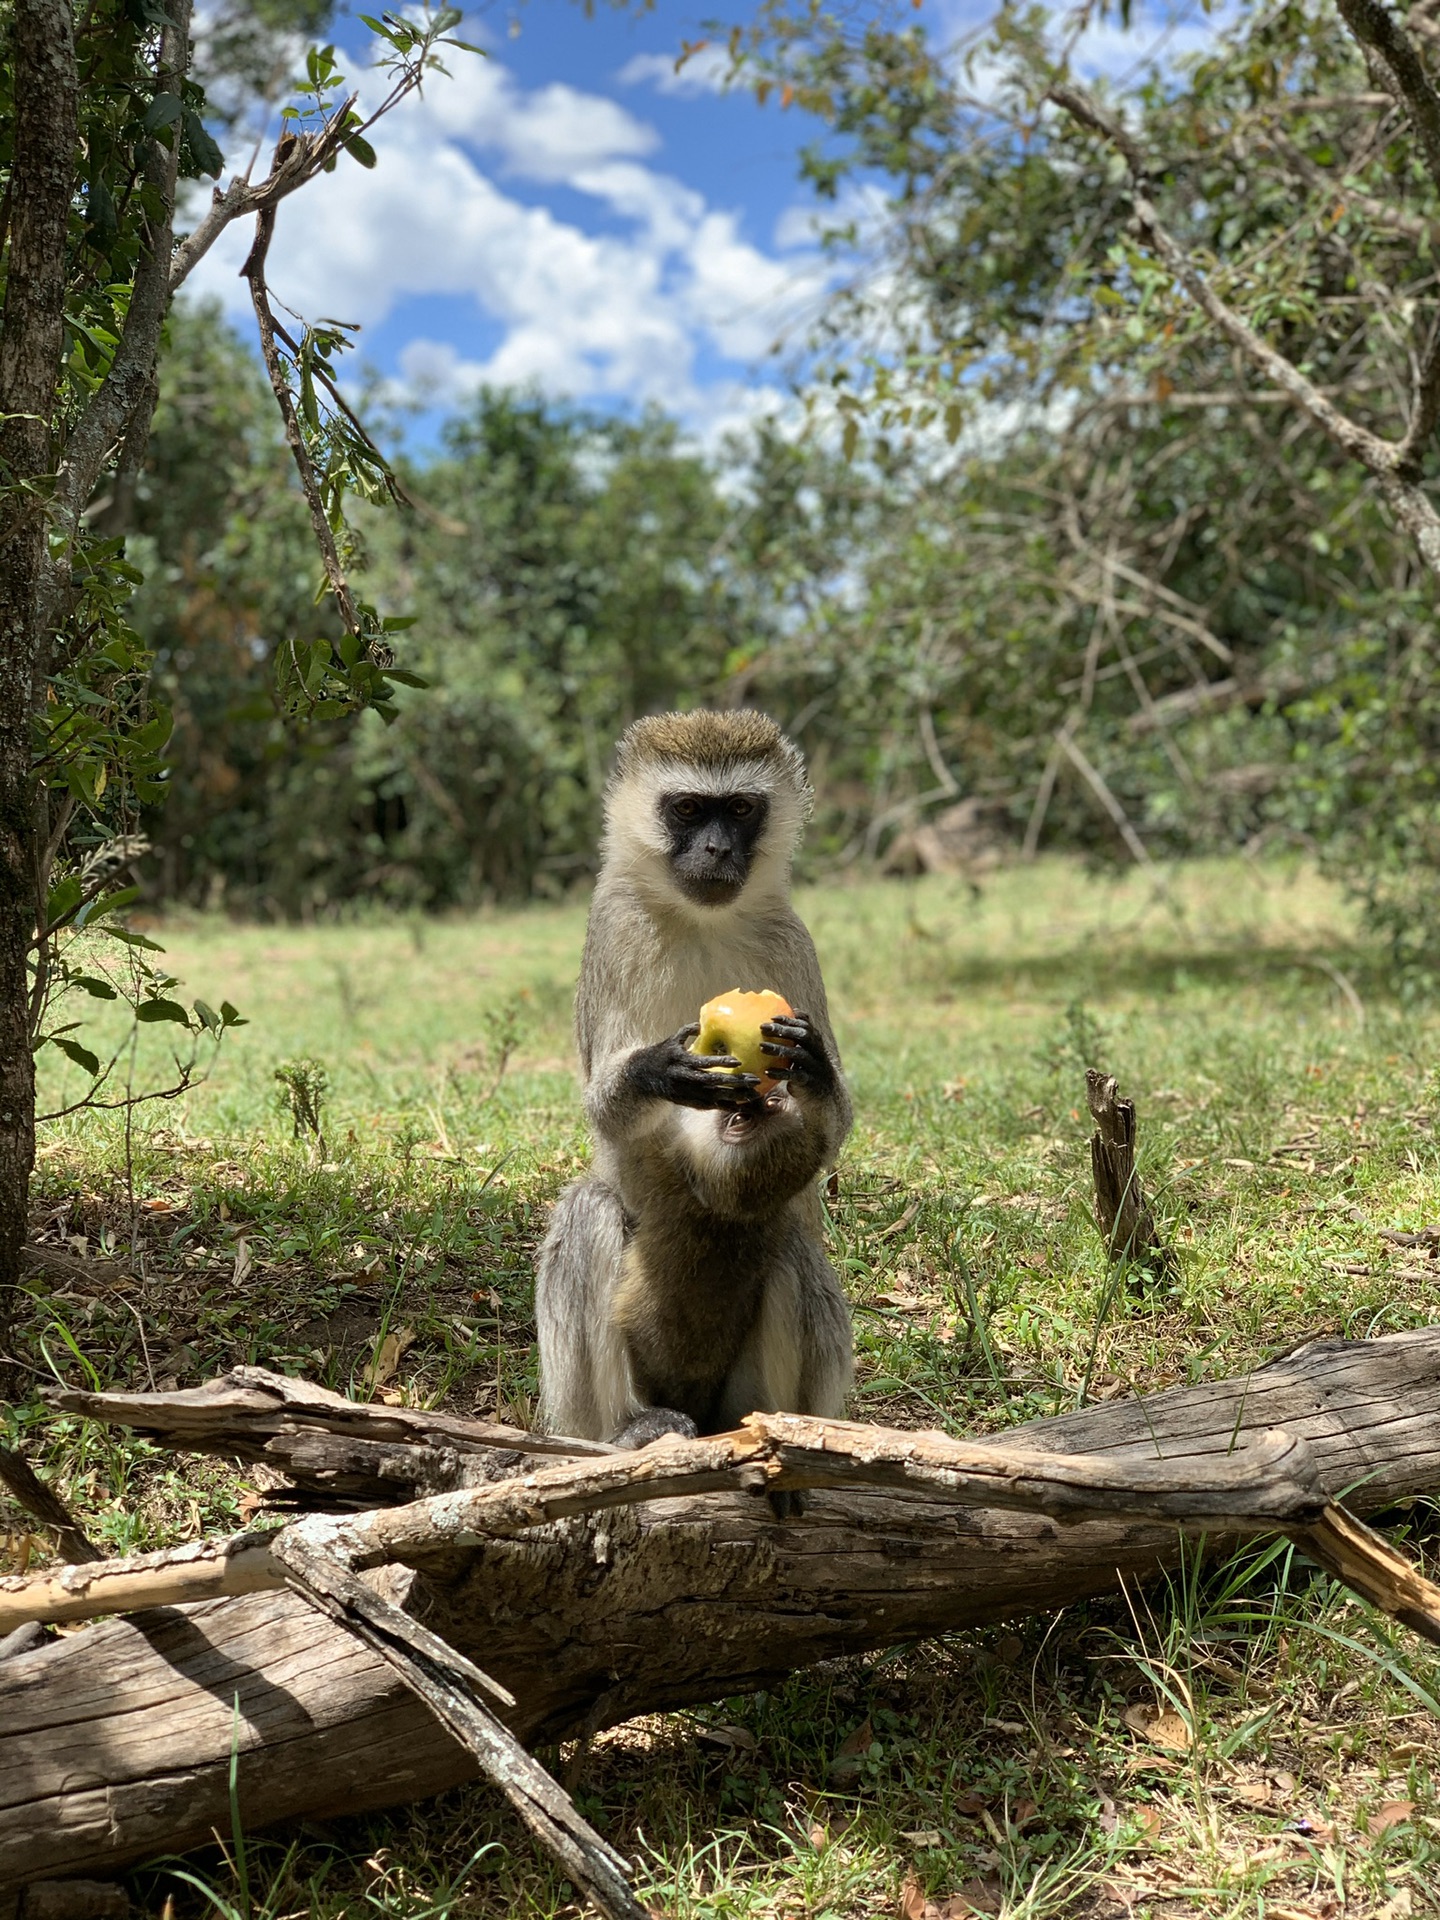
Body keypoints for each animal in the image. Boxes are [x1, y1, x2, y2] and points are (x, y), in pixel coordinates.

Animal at [541, 714, 856, 1443]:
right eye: (687, 809)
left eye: (739, 809)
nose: (715, 847)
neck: (700, 922)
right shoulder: (616, 930)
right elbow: (605, 1108)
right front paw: (661, 1070)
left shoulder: (792, 940)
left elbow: (834, 1128)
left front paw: (813, 1068)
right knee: (589, 1208)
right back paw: (628, 1428)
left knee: (792, 1247)